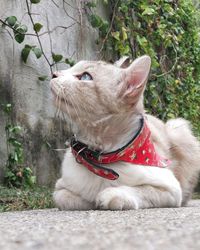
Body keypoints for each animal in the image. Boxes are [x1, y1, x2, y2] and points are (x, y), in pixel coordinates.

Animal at [50, 55, 200, 210]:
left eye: (85, 76)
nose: (54, 74)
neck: (101, 159)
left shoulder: (171, 189)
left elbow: (140, 190)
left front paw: (109, 195)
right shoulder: (60, 188)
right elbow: (66, 198)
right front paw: (91, 201)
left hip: (178, 127)